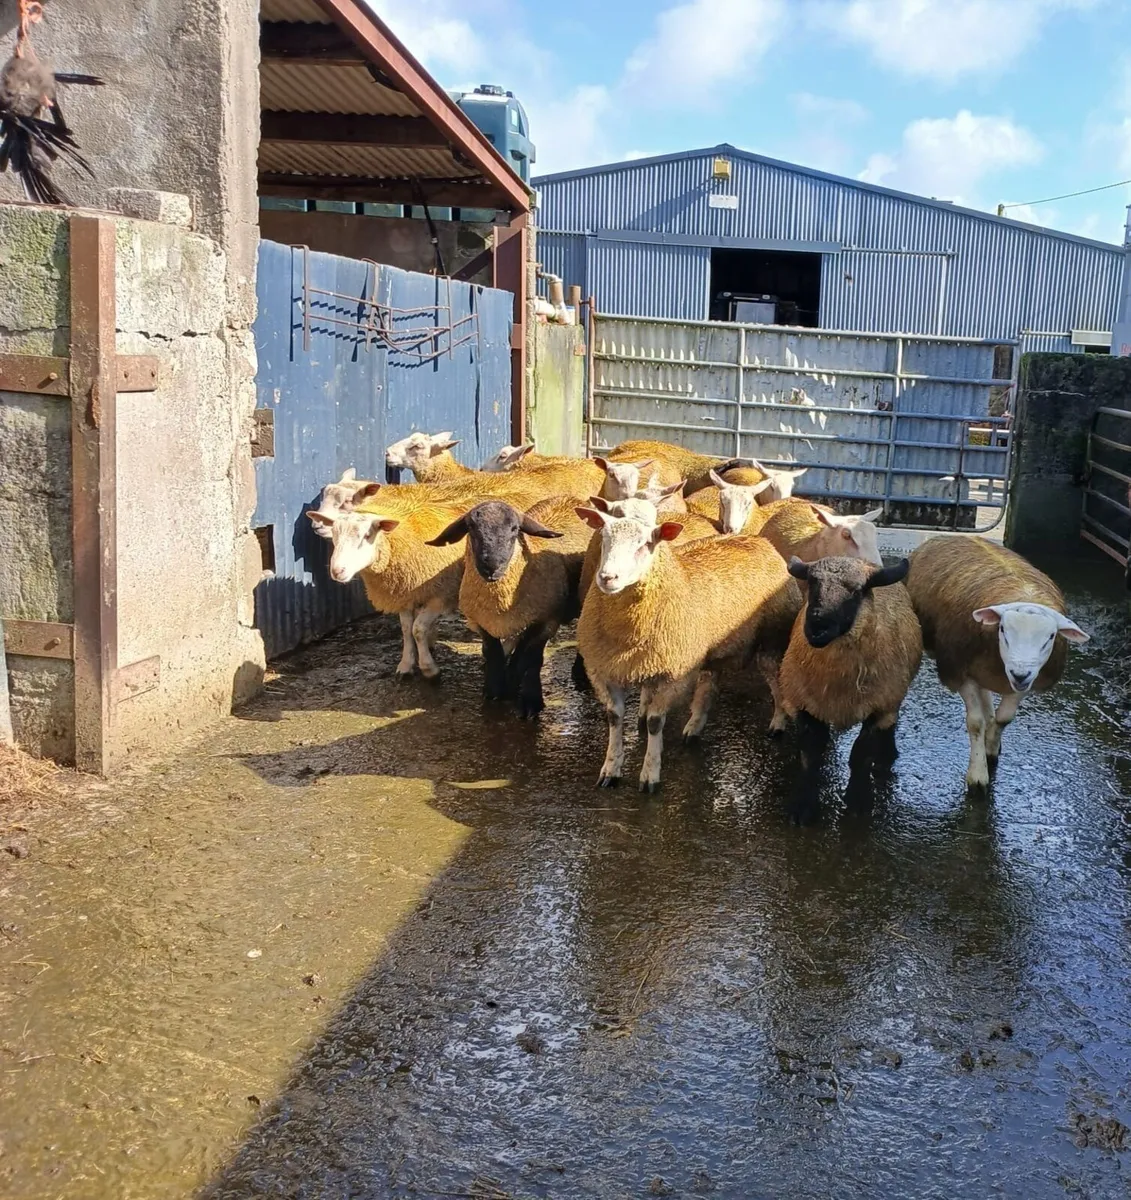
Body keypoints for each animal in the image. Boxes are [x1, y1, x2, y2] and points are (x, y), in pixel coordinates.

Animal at [308, 499, 467, 681]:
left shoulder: (441, 595)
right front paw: (406, 665)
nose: (337, 571)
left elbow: (417, 629)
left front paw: (429, 668)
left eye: (367, 535)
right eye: (334, 534)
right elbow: (406, 629)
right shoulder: (404, 594)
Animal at [427, 496, 591, 717]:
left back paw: (580, 673)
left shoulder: (546, 621)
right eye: (471, 527)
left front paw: (529, 701)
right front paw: (494, 690)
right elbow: (493, 653)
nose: (491, 566)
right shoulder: (481, 624)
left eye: (515, 529)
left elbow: (531, 659)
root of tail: (572, 498)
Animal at [575, 510, 801, 792]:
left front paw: (650, 774)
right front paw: (610, 770)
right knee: (709, 682)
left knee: (775, 681)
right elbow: (614, 718)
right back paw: (694, 725)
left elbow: (655, 722)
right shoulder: (606, 670)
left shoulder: (675, 674)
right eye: (604, 538)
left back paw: (778, 723)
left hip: (771, 639)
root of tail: (759, 540)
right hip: (710, 647)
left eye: (645, 544)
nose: (607, 578)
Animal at [780, 556, 922, 806]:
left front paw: (858, 798)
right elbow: (810, 754)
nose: (817, 626)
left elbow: (861, 753)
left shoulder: (879, 709)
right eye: (812, 583)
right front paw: (804, 803)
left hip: (892, 698)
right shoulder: (801, 704)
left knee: (892, 723)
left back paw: (888, 756)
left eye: (856, 591)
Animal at [905, 536, 1090, 795]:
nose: (1019, 673)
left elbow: (1004, 718)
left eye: (1051, 636)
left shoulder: (1025, 681)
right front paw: (978, 775)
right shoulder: (960, 671)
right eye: (1003, 629)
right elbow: (975, 723)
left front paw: (992, 746)